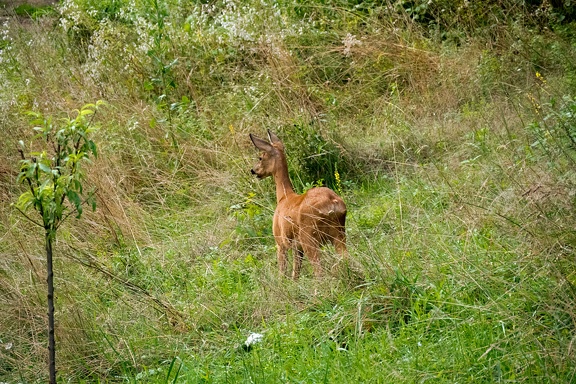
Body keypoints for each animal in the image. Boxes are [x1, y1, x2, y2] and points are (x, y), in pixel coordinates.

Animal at [249, 130, 346, 280]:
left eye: (260, 157)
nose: (253, 170)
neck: (283, 197)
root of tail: (332, 203)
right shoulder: (297, 247)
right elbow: (296, 273)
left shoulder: (280, 241)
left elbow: (283, 271)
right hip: (339, 233)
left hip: (309, 236)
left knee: (319, 271)